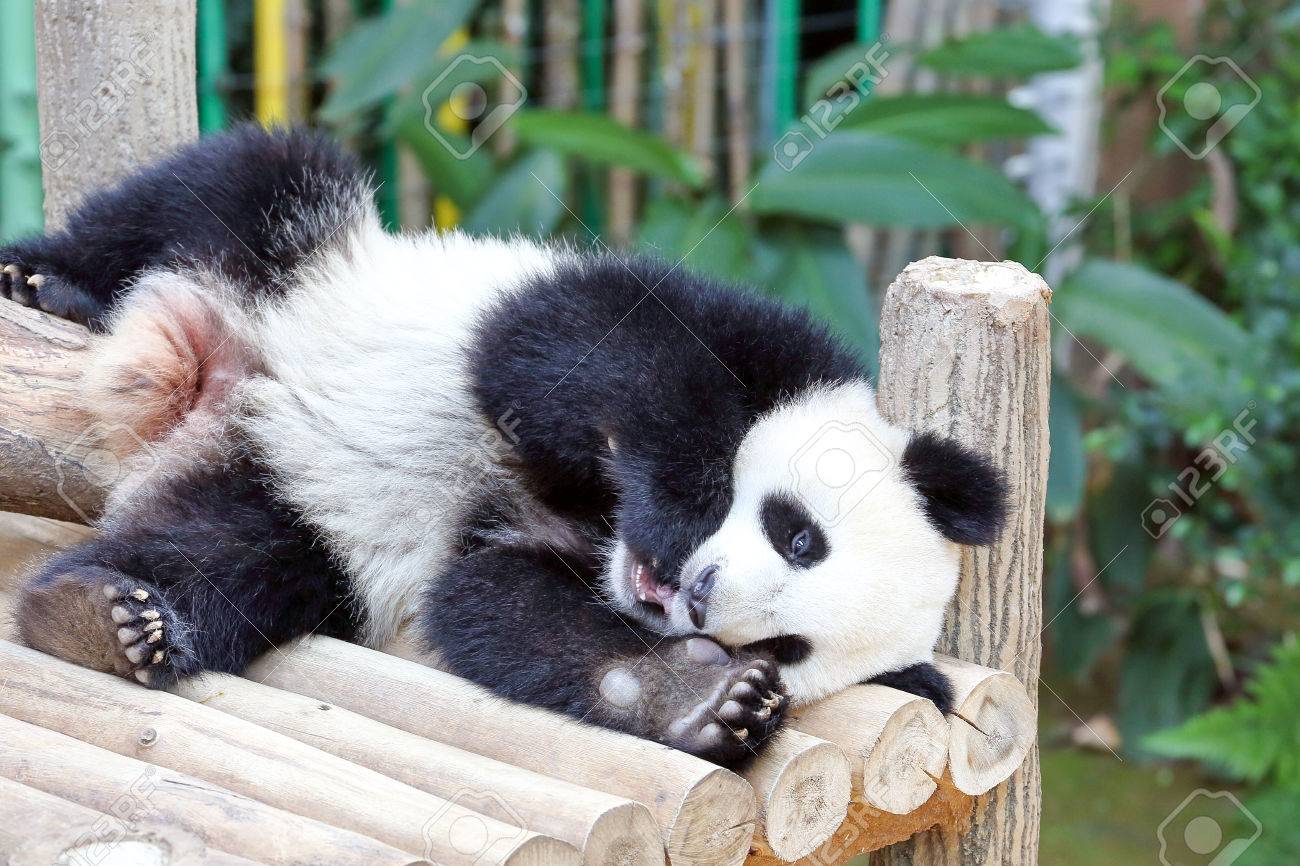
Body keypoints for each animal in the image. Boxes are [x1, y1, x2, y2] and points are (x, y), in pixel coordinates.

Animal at [1, 126, 1006, 769]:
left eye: (790, 646)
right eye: (800, 535)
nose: (697, 597)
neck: (600, 532)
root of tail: (219, 383)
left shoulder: (517, 569)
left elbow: (495, 607)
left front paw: (702, 702)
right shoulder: (746, 335)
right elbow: (583, 353)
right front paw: (679, 509)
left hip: (286, 503)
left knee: (234, 555)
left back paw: (102, 616)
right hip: (304, 257)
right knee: (233, 186)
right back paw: (48, 282)